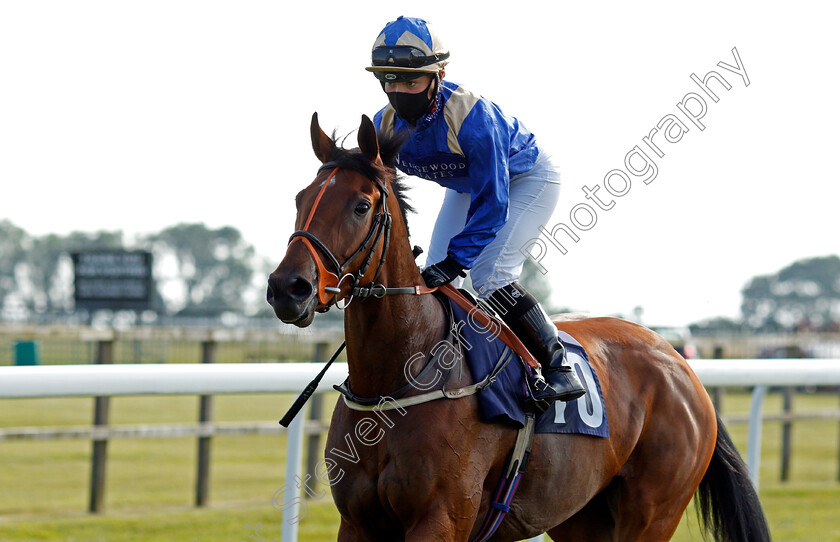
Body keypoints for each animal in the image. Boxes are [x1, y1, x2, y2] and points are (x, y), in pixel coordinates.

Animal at [266, 112, 772, 540]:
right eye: (300, 198)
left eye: (360, 206)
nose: (288, 288)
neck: (397, 380)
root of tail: (681, 366)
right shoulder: (358, 522)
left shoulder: (440, 519)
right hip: (580, 516)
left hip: (652, 514)